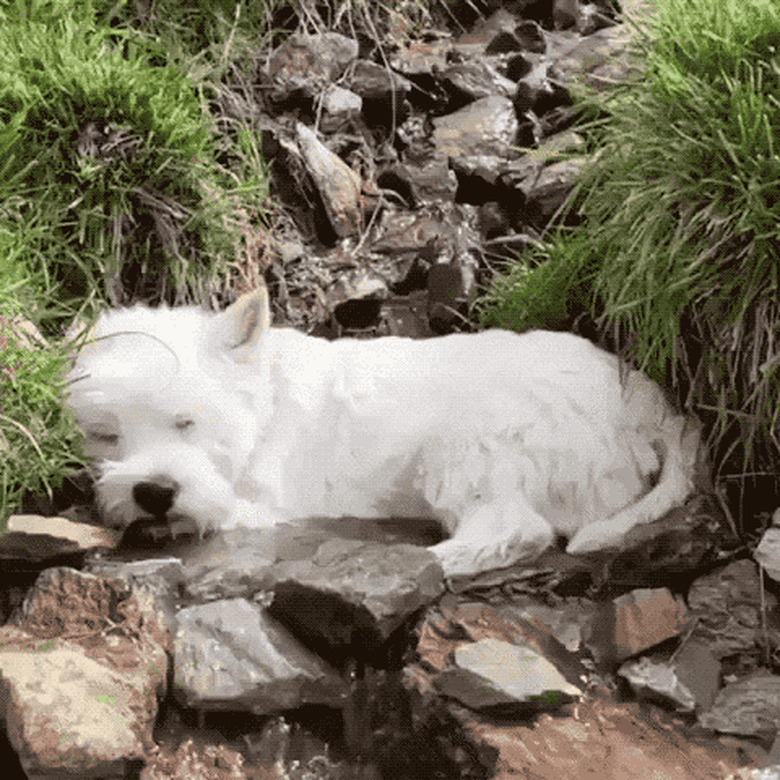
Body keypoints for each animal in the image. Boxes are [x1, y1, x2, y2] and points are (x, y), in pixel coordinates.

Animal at [67, 288, 700, 580]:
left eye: (187, 421)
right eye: (104, 434)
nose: (153, 493)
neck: (264, 399)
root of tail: (656, 413)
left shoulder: (266, 503)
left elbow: (217, 512)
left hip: (470, 439)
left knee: (518, 530)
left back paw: (425, 560)